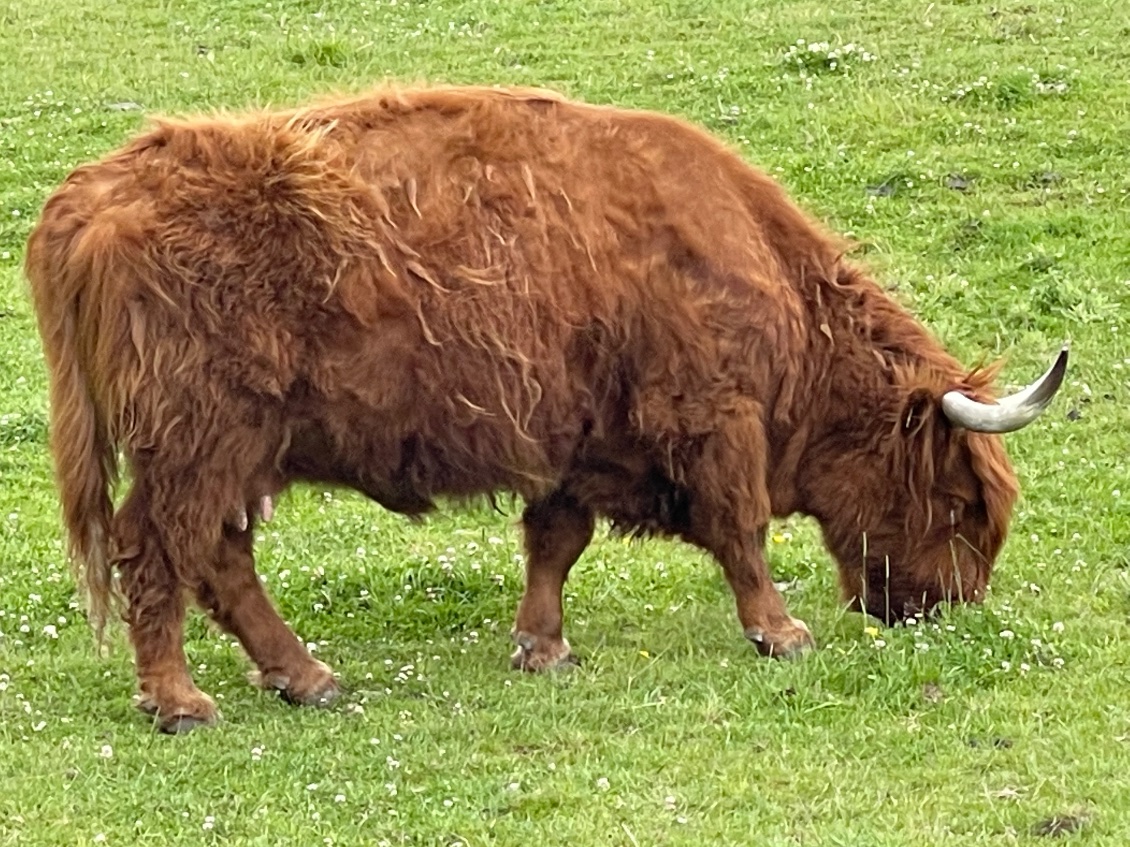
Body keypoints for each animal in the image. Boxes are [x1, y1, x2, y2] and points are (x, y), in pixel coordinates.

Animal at [26, 88, 1066, 736]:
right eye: (962, 503)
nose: (945, 608)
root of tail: (91, 196)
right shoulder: (713, 421)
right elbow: (743, 533)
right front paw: (781, 633)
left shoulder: (576, 443)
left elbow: (556, 542)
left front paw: (543, 647)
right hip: (200, 445)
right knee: (159, 549)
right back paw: (180, 700)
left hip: (236, 454)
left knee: (217, 557)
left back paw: (306, 678)